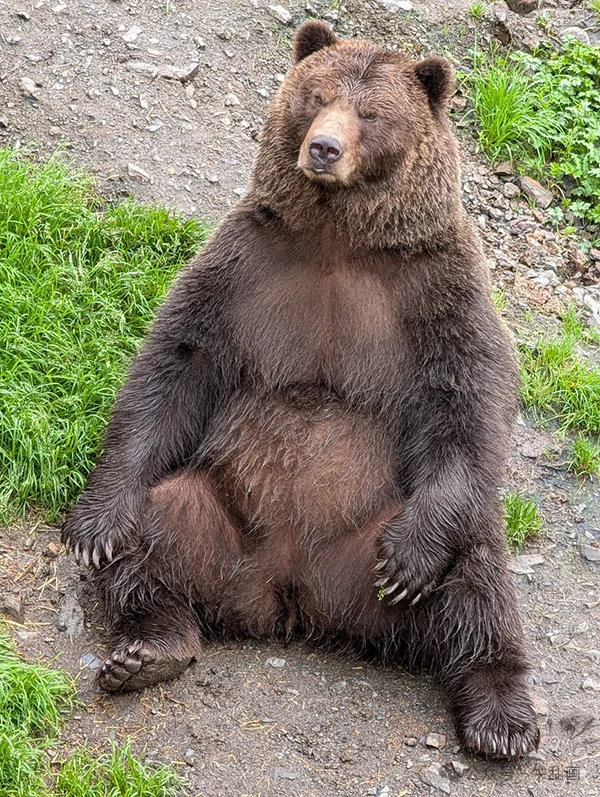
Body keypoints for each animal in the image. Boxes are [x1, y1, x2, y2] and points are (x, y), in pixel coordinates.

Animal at [63, 20, 540, 758]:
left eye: (370, 113)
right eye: (316, 96)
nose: (324, 147)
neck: (337, 235)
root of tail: (295, 595)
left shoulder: (434, 287)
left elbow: (471, 394)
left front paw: (409, 561)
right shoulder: (249, 265)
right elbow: (174, 366)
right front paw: (93, 525)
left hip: (380, 530)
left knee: (477, 574)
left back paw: (502, 718)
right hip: (219, 513)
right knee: (157, 533)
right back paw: (149, 647)